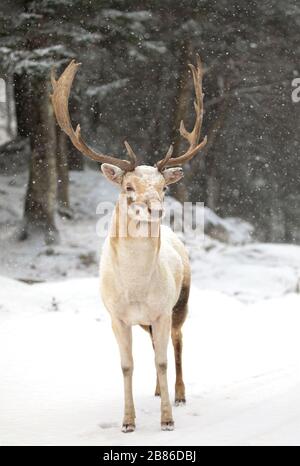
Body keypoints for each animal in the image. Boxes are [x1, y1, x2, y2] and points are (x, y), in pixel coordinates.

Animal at [51, 55, 206, 434]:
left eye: (164, 187)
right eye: (128, 187)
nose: (157, 208)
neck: (135, 288)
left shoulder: (162, 309)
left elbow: (163, 360)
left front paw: (167, 419)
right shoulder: (116, 315)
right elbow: (126, 365)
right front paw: (127, 421)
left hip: (181, 301)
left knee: (177, 343)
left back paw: (179, 394)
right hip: (147, 320)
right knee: (153, 347)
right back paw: (157, 391)